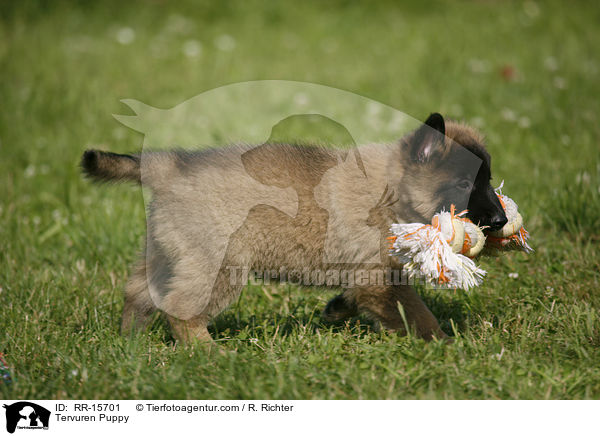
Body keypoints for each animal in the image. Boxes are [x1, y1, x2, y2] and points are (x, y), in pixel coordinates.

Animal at [82, 113, 506, 344]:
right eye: (465, 184)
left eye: (487, 180)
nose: (502, 221)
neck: (391, 191)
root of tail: (168, 167)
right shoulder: (377, 278)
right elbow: (416, 314)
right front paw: (444, 344)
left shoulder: (370, 275)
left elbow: (360, 298)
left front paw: (337, 309)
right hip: (218, 265)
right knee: (181, 310)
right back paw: (208, 354)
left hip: (167, 251)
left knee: (139, 292)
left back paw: (131, 343)